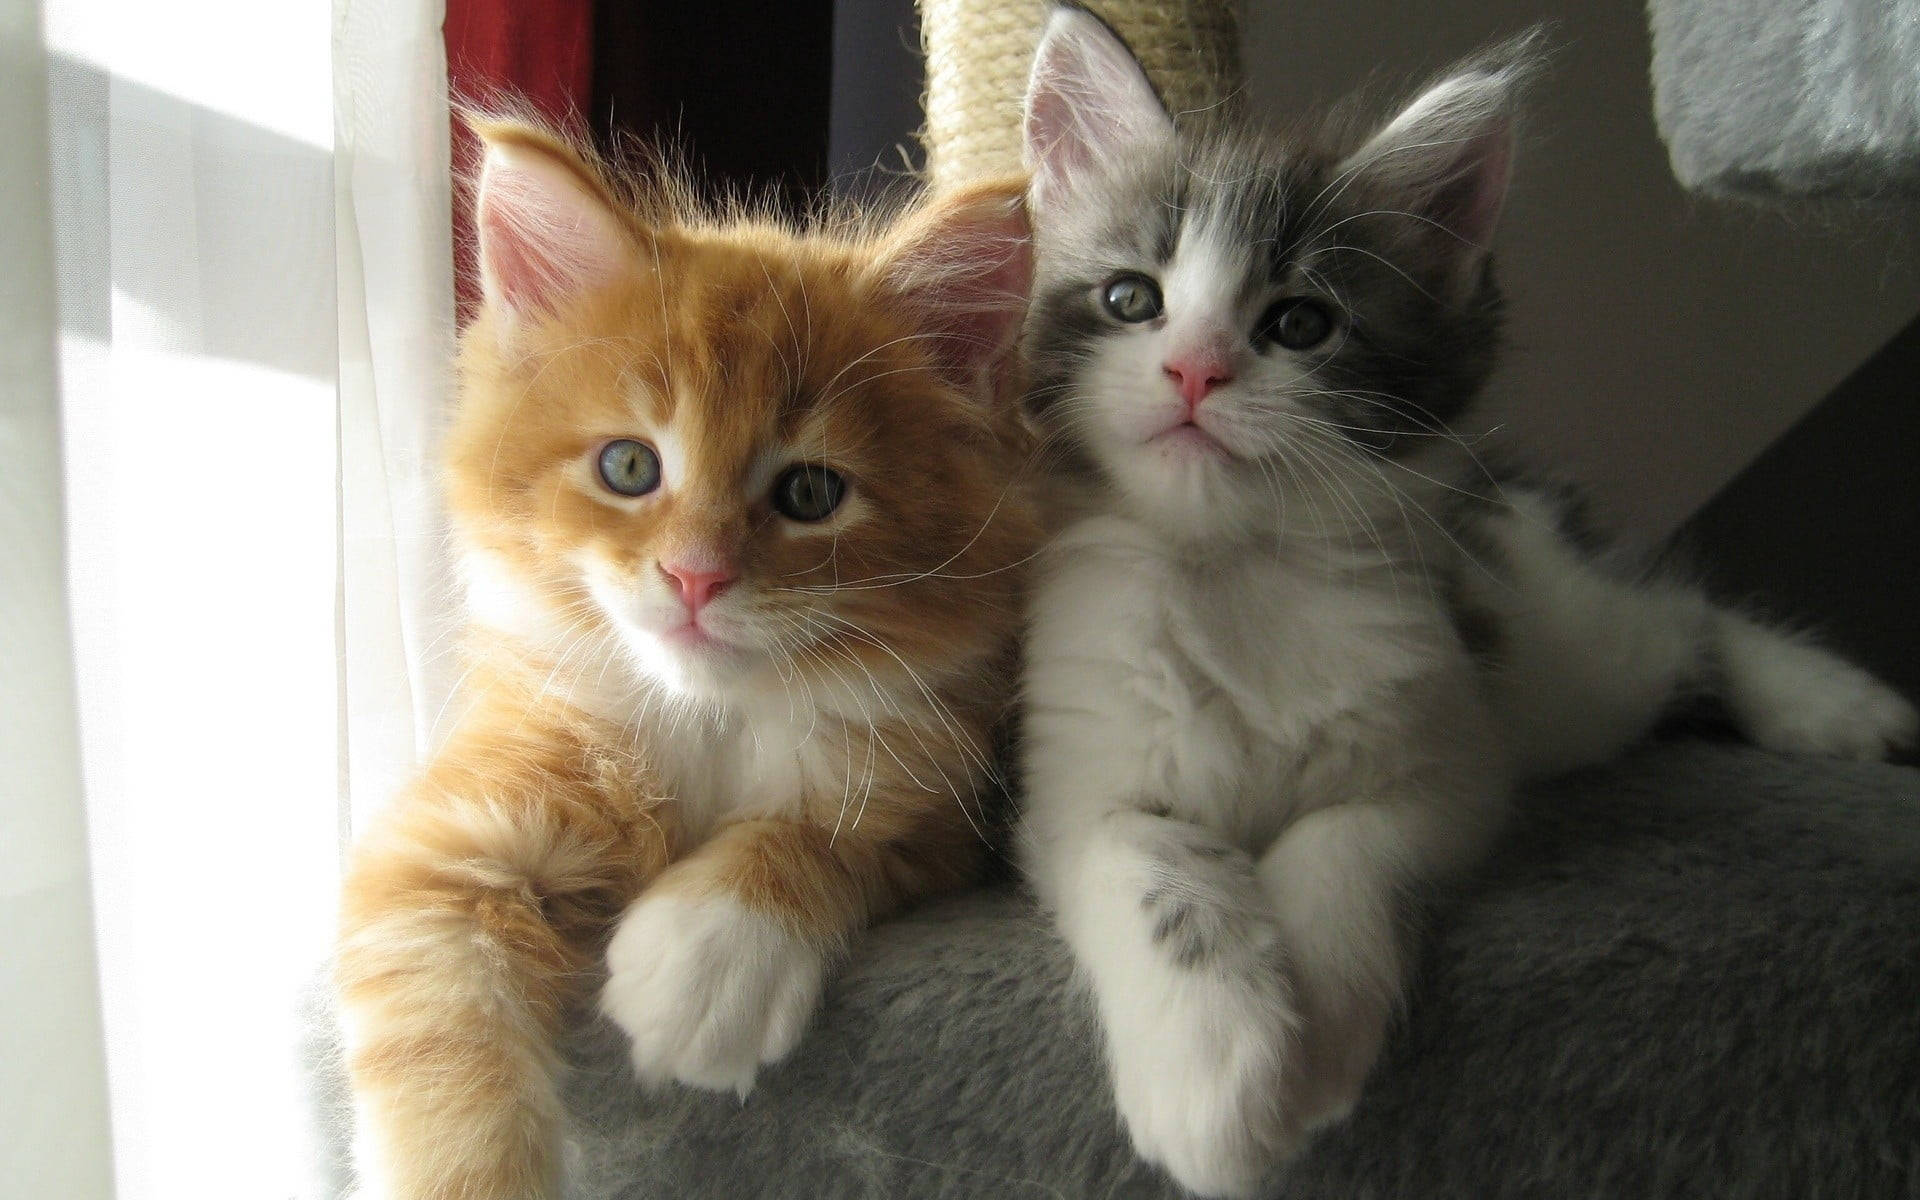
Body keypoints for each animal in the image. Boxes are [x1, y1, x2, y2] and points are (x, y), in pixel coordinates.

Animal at [337, 121, 1044, 1198]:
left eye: (810, 493)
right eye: (629, 467)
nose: (696, 576)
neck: (712, 721)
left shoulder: (940, 819)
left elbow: (819, 831)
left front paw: (714, 958)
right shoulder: (442, 845)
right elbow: (441, 1072)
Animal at [1013, 11, 1912, 1198]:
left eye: (1300, 323)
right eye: (1130, 299)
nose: (1196, 370)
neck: (1234, 568)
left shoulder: (1452, 750)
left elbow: (1343, 846)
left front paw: (1320, 1028)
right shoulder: (1076, 776)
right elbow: (1154, 868)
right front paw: (1213, 1074)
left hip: (1568, 664)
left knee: (1684, 618)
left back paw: (1838, 709)